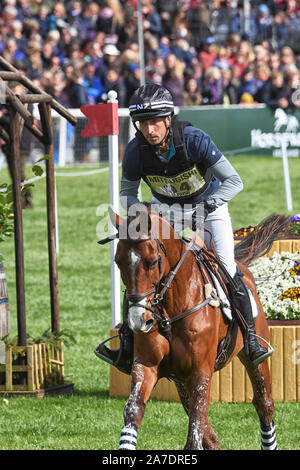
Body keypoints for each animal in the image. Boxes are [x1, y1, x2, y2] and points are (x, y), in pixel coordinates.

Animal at [106, 207, 288, 450]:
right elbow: (134, 409)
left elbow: (195, 429)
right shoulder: (146, 364)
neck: (171, 309)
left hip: (253, 360)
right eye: (117, 262)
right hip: (180, 379)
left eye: (153, 262)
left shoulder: (201, 371)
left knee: (263, 404)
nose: (139, 321)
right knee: (210, 434)